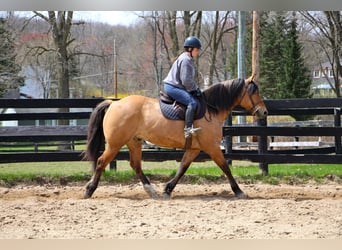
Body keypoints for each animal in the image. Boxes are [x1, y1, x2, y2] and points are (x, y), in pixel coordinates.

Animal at [83, 75, 268, 200]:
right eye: (254, 91)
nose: (264, 112)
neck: (210, 109)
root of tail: (114, 103)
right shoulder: (212, 147)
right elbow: (225, 167)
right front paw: (239, 191)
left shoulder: (194, 149)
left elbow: (182, 168)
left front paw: (168, 189)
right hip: (115, 144)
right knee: (101, 162)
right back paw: (89, 189)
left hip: (134, 142)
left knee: (135, 165)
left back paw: (152, 191)